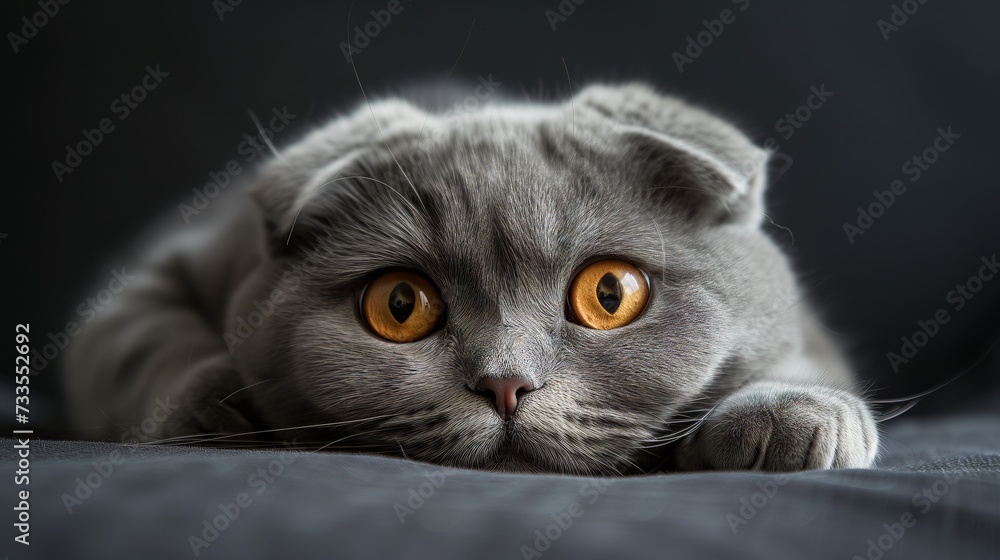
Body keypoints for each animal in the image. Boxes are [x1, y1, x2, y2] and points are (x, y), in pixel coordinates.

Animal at [62, 83, 876, 474]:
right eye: (400, 305)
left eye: (610, 294)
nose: (505, 383)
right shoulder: (151, 285)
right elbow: (152, 347)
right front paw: (223, 411)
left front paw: (794, 415)